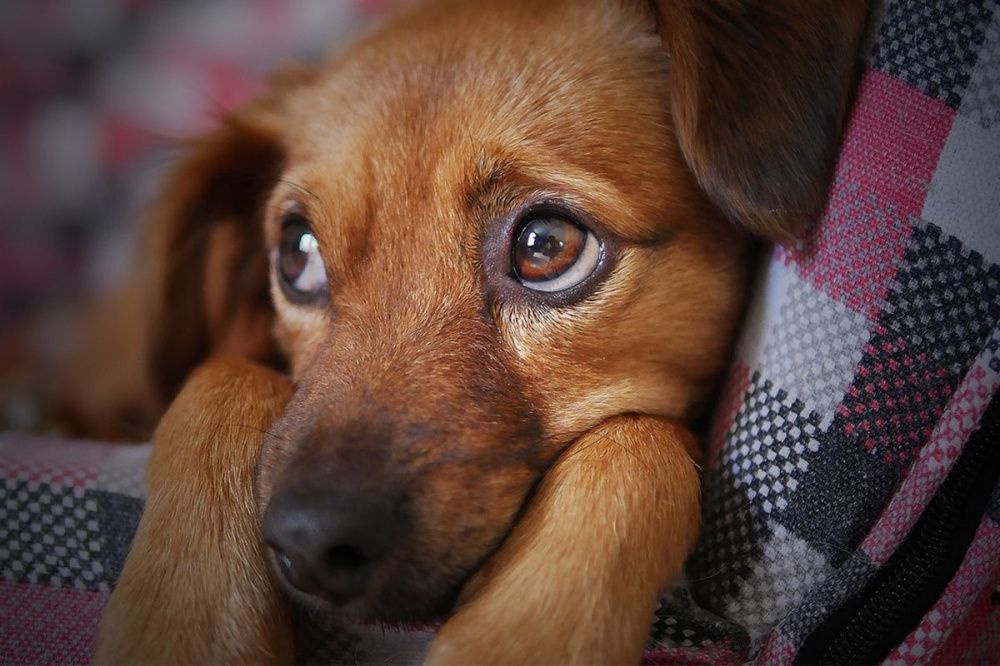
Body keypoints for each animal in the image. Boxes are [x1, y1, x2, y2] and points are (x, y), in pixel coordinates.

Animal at [56, 1, 868, 660]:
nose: (311, 544)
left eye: (547, 245)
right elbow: (219, 376)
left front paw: (522, 635)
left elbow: (638, 443)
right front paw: (184, 625)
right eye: (297, 253)